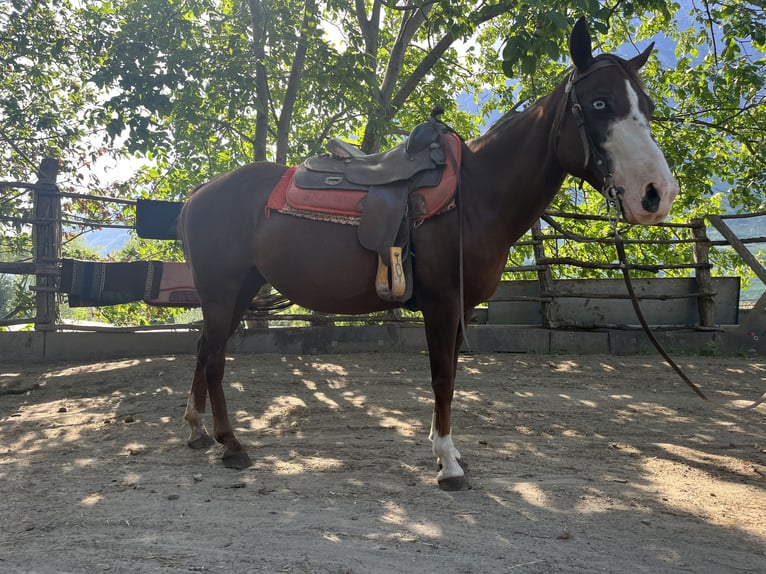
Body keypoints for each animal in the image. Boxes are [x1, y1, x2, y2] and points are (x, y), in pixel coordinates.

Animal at [178, 18, 679, 491]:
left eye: (648, 108)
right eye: (599, 104)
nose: (657, 193)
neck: (478, 195)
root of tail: (198, 194)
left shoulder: (462, 307)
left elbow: (451, 373)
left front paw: (446, 452)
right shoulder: (442, 302)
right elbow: (442, 376)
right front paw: (449, 465)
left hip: (241, 289)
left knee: (203, 348)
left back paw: (197, 431)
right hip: (222, 290)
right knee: (215, 356)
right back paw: (230, 444)